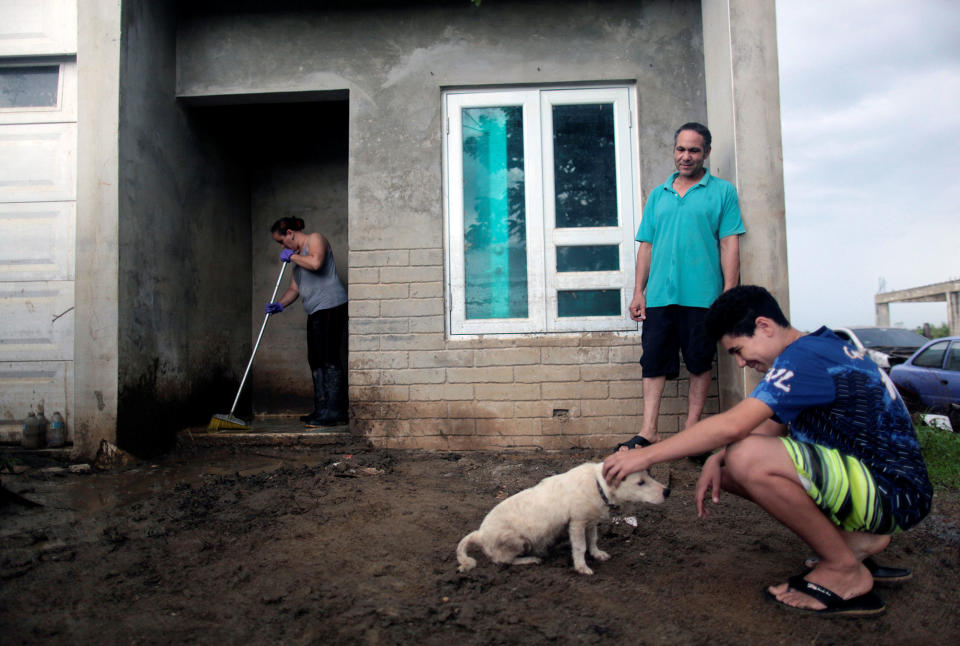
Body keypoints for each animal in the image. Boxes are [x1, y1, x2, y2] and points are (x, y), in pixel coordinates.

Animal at [456, 466, 668, 576]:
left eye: (649, 475)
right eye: (640, 482)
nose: (667, 491)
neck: (598, 485)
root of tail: (480, 534)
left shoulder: (591, 522)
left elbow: (593, 541)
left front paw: (597, 554)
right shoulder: (577, 523)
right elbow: (580, 547)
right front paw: (582, 567)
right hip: (517, 542)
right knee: (502, 561)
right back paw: (531, 559)